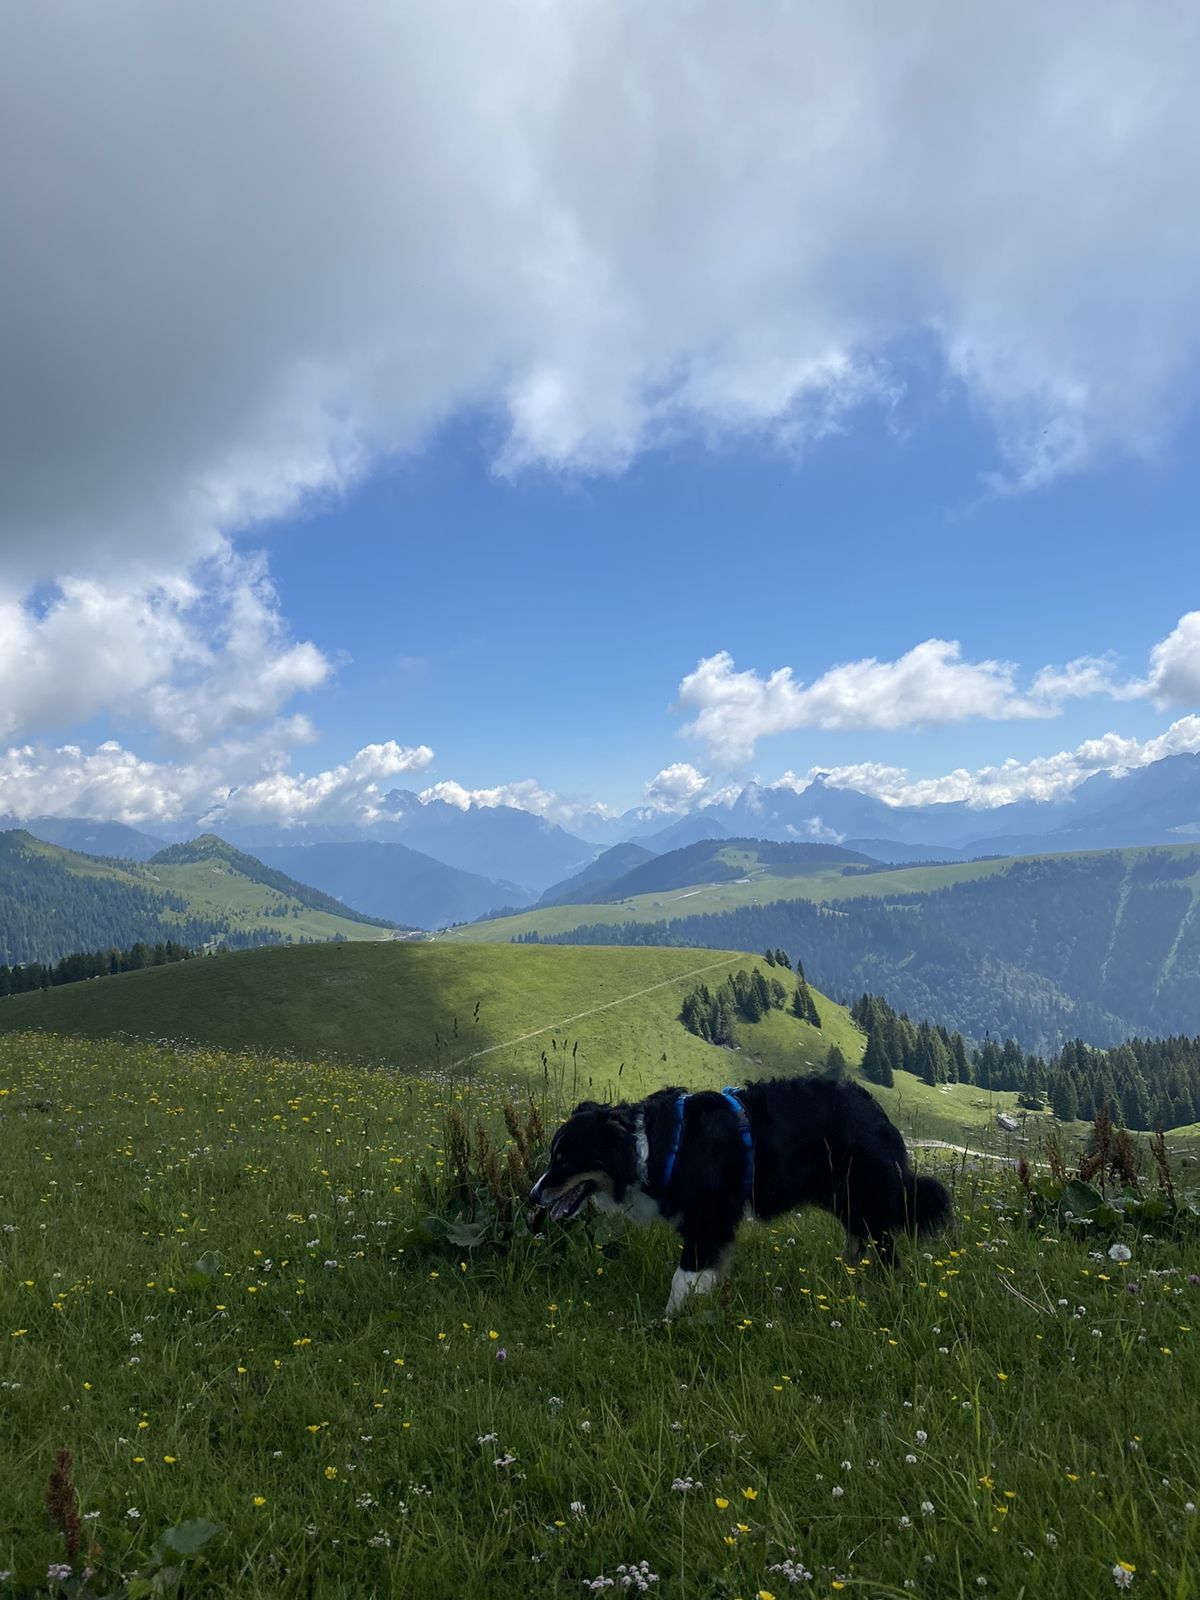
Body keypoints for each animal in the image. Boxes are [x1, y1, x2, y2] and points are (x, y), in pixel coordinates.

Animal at [529, 1074, 952, 1318]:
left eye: (564, 1160)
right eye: (553, 1155)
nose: (533, 1196)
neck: (654, 1147)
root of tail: (876, 1110)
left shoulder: (709, 1219)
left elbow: (683, 1278)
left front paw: (667, 1322)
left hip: (863, 1195)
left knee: (885, 1246)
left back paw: (878, 1289)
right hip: (843, 1198)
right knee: (858, 1239)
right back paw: (847, 1279)